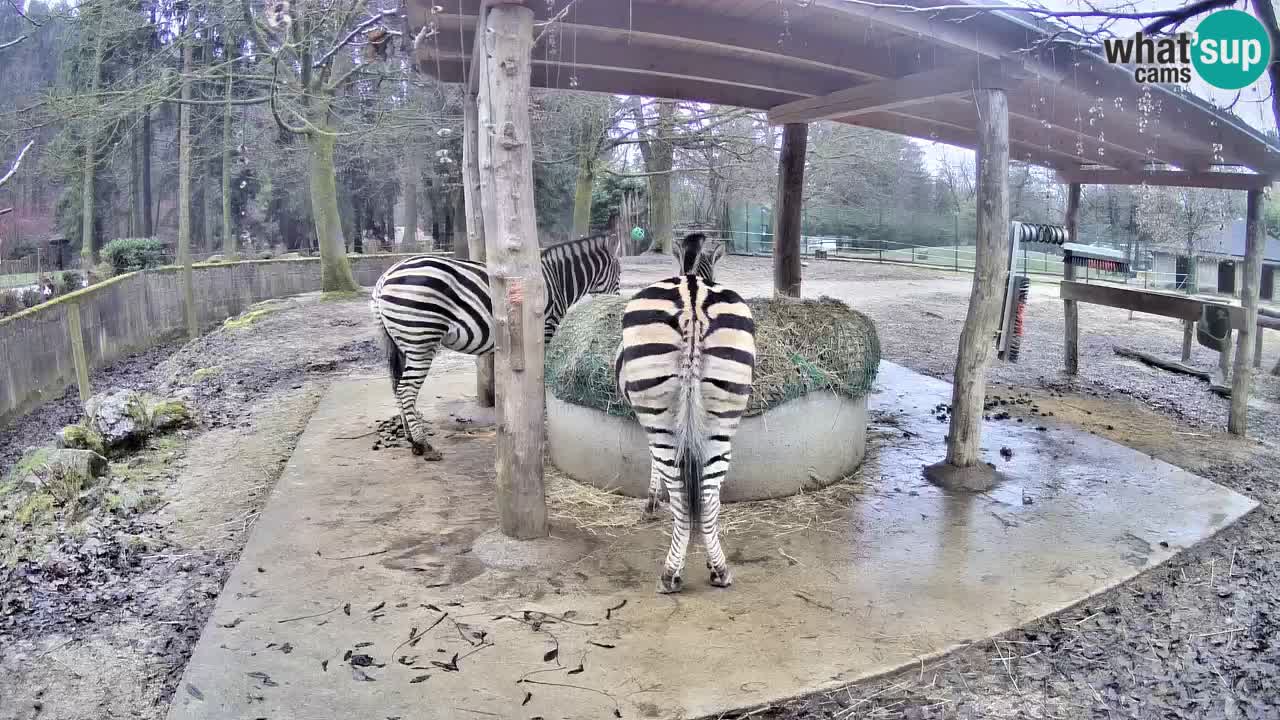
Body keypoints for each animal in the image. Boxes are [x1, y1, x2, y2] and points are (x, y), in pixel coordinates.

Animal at [373, 235, 622, 458]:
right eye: (619, 275)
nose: (617, 306)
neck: (557, 282)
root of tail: (384, 277)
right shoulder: (544, 331)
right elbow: (538, 379)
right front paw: (539, 413)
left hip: (401, 343)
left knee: (397, 387)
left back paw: (410, 439)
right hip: (421, 339)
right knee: (406, 389)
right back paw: (423, 444)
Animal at [614, 233, 752, 591]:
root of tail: (692, 298)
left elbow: (654, 464)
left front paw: (650, 502)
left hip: (659, 413)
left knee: (679, 492)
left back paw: (670, 573)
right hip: (723, 416)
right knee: (708, 496)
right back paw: (718, 569)